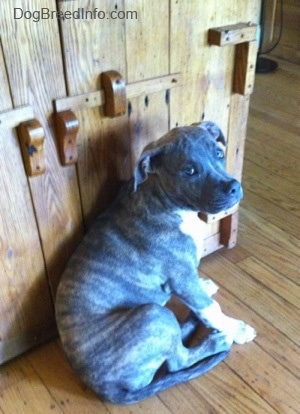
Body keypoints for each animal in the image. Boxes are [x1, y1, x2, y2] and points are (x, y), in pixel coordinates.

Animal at [55, 122, 255, 404]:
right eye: (189, 171)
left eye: (219, 153)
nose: (233, 187)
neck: (167, 203)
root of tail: (105, 389)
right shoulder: (180, 277)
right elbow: (212, 309)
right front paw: (236, 328)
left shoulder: (186, 276)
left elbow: (201, 296)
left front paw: (204, 287)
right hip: (153, 315)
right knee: (178, 361)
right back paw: (216, 341)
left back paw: (193, 321)